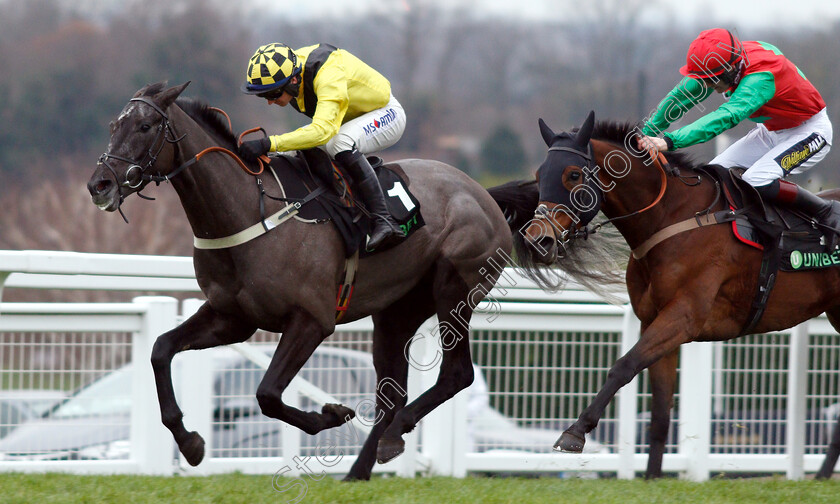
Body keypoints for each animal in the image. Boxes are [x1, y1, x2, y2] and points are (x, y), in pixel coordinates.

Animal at [87, 82, 512, 480]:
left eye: (144, 126)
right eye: (112, 126)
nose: (99, 185)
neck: (248, 212)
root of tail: (483, 194)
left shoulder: (312, 320)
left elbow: (267, 394)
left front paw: (332, 415)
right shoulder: (232, 318)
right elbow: (161, 349)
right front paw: (189, 442)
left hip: (453, 289)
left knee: (457, 374)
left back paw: (394, 435)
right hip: (397, 311)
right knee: (392, 392)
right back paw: (362, 468)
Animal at [488, 111, 840, 480]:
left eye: (572, 174)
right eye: (538, 175)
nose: (537, 240)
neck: (674, 219)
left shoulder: (683, 317)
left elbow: (623, 367)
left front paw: (574, 433)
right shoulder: (654, 320)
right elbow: (659, 410)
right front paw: (652, 477)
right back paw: (822, 474)